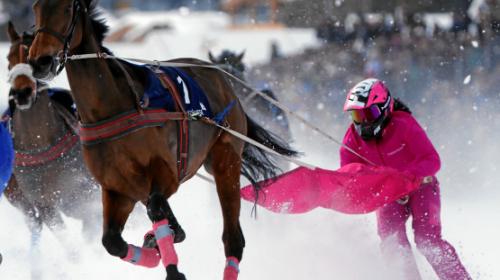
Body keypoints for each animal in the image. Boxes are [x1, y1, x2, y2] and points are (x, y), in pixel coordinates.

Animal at [2, 23, 102, 278]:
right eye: (9, 59)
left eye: (31, 56)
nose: (22, 93)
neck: (39, 142)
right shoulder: (45, 205)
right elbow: (71, 245)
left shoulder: (89, 190)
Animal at [28, 1, 296, 278]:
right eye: (36, 7)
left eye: (67, 8)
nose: (40, 61)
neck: (112, 108)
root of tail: (224, 82)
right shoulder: (117, 189)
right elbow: (112, 241)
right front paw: (156, 241)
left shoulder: (167, 174)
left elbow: (156, 207)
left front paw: (169, 260)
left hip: (226, 162)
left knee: (233, 239)